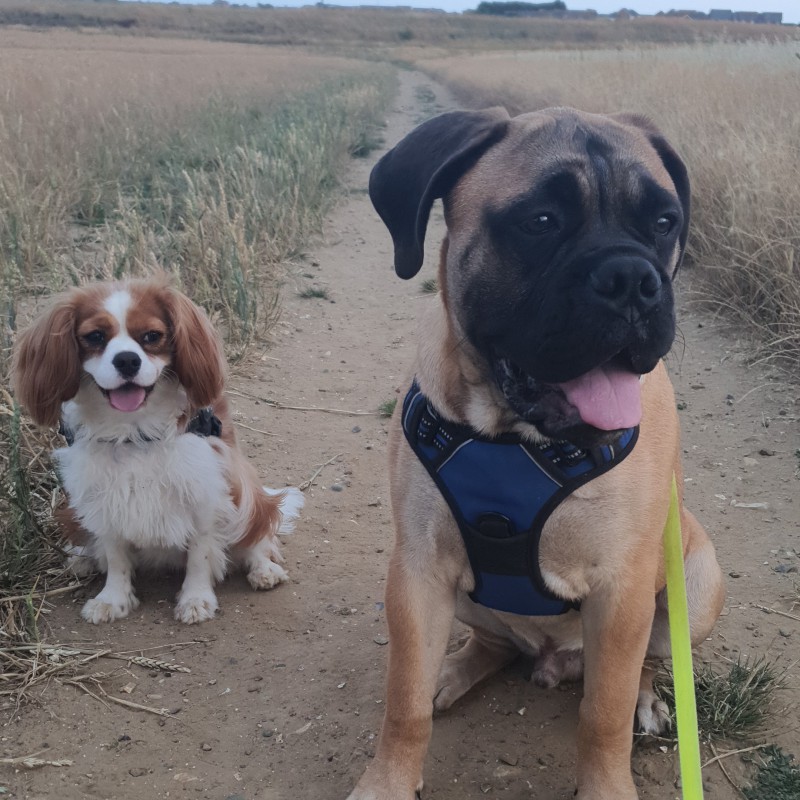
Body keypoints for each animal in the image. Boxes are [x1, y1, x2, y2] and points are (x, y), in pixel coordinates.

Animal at [12, 276, 303, 625]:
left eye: (152, 336)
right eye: (95, 337)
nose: (127, 359)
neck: (134, 430)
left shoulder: (205, 493)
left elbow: (200, 555)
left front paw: (196, 598)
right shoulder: (105, 497)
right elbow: (115, 555)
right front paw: (113, 598)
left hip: (249, 494)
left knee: (259, 533)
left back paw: (264, 569)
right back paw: (82, 557)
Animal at [347, 108, 724, 800]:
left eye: (664, 222)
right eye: (541, 221)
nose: (633, 281)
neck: (514, 436)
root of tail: (554, 659)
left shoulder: (621, 592)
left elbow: (602, 715)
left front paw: (608, 783)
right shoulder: (416, 572)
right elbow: (404, 700)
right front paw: (388, 780)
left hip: (694, 589)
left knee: (645, 665)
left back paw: (647, 700)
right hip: (461, 593)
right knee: (492, 645)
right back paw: (454, 670)